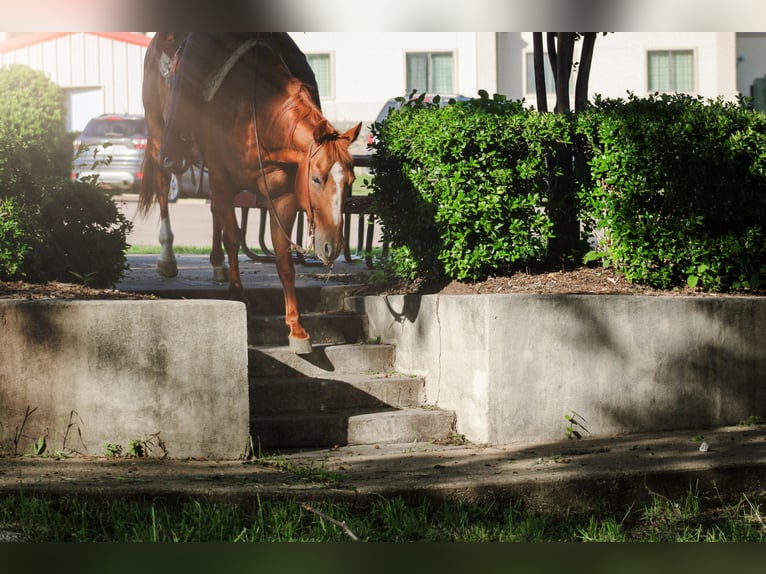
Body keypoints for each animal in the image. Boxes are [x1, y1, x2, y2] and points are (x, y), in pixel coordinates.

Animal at [140, 35, 362, 356]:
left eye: (351, 181)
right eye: (317, 179)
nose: (331, 247)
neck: (256, 114)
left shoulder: (282, 196)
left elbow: (283, 260)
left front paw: (296, 329)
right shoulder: (222, 180)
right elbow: (234, 237)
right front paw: (237, 293)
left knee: (214, 211)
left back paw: (217, 264)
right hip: (159, 137)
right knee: (162, 186)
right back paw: (167, 258)